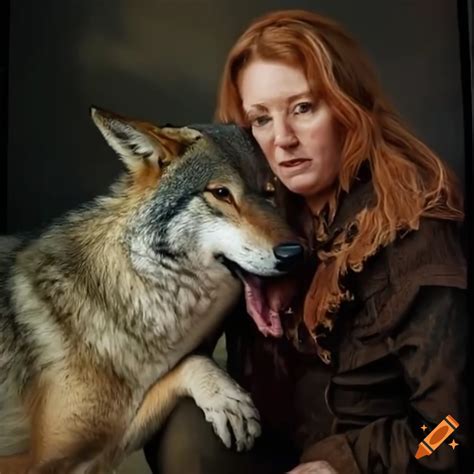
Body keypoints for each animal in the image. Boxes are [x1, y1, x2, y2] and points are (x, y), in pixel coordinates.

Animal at [0, 108, 304, 474]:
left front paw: (223, 395)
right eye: (221, 193)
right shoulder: (34, 460)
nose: (294, 254)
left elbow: (188, 364)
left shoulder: (99, 450)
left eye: (270, 192)